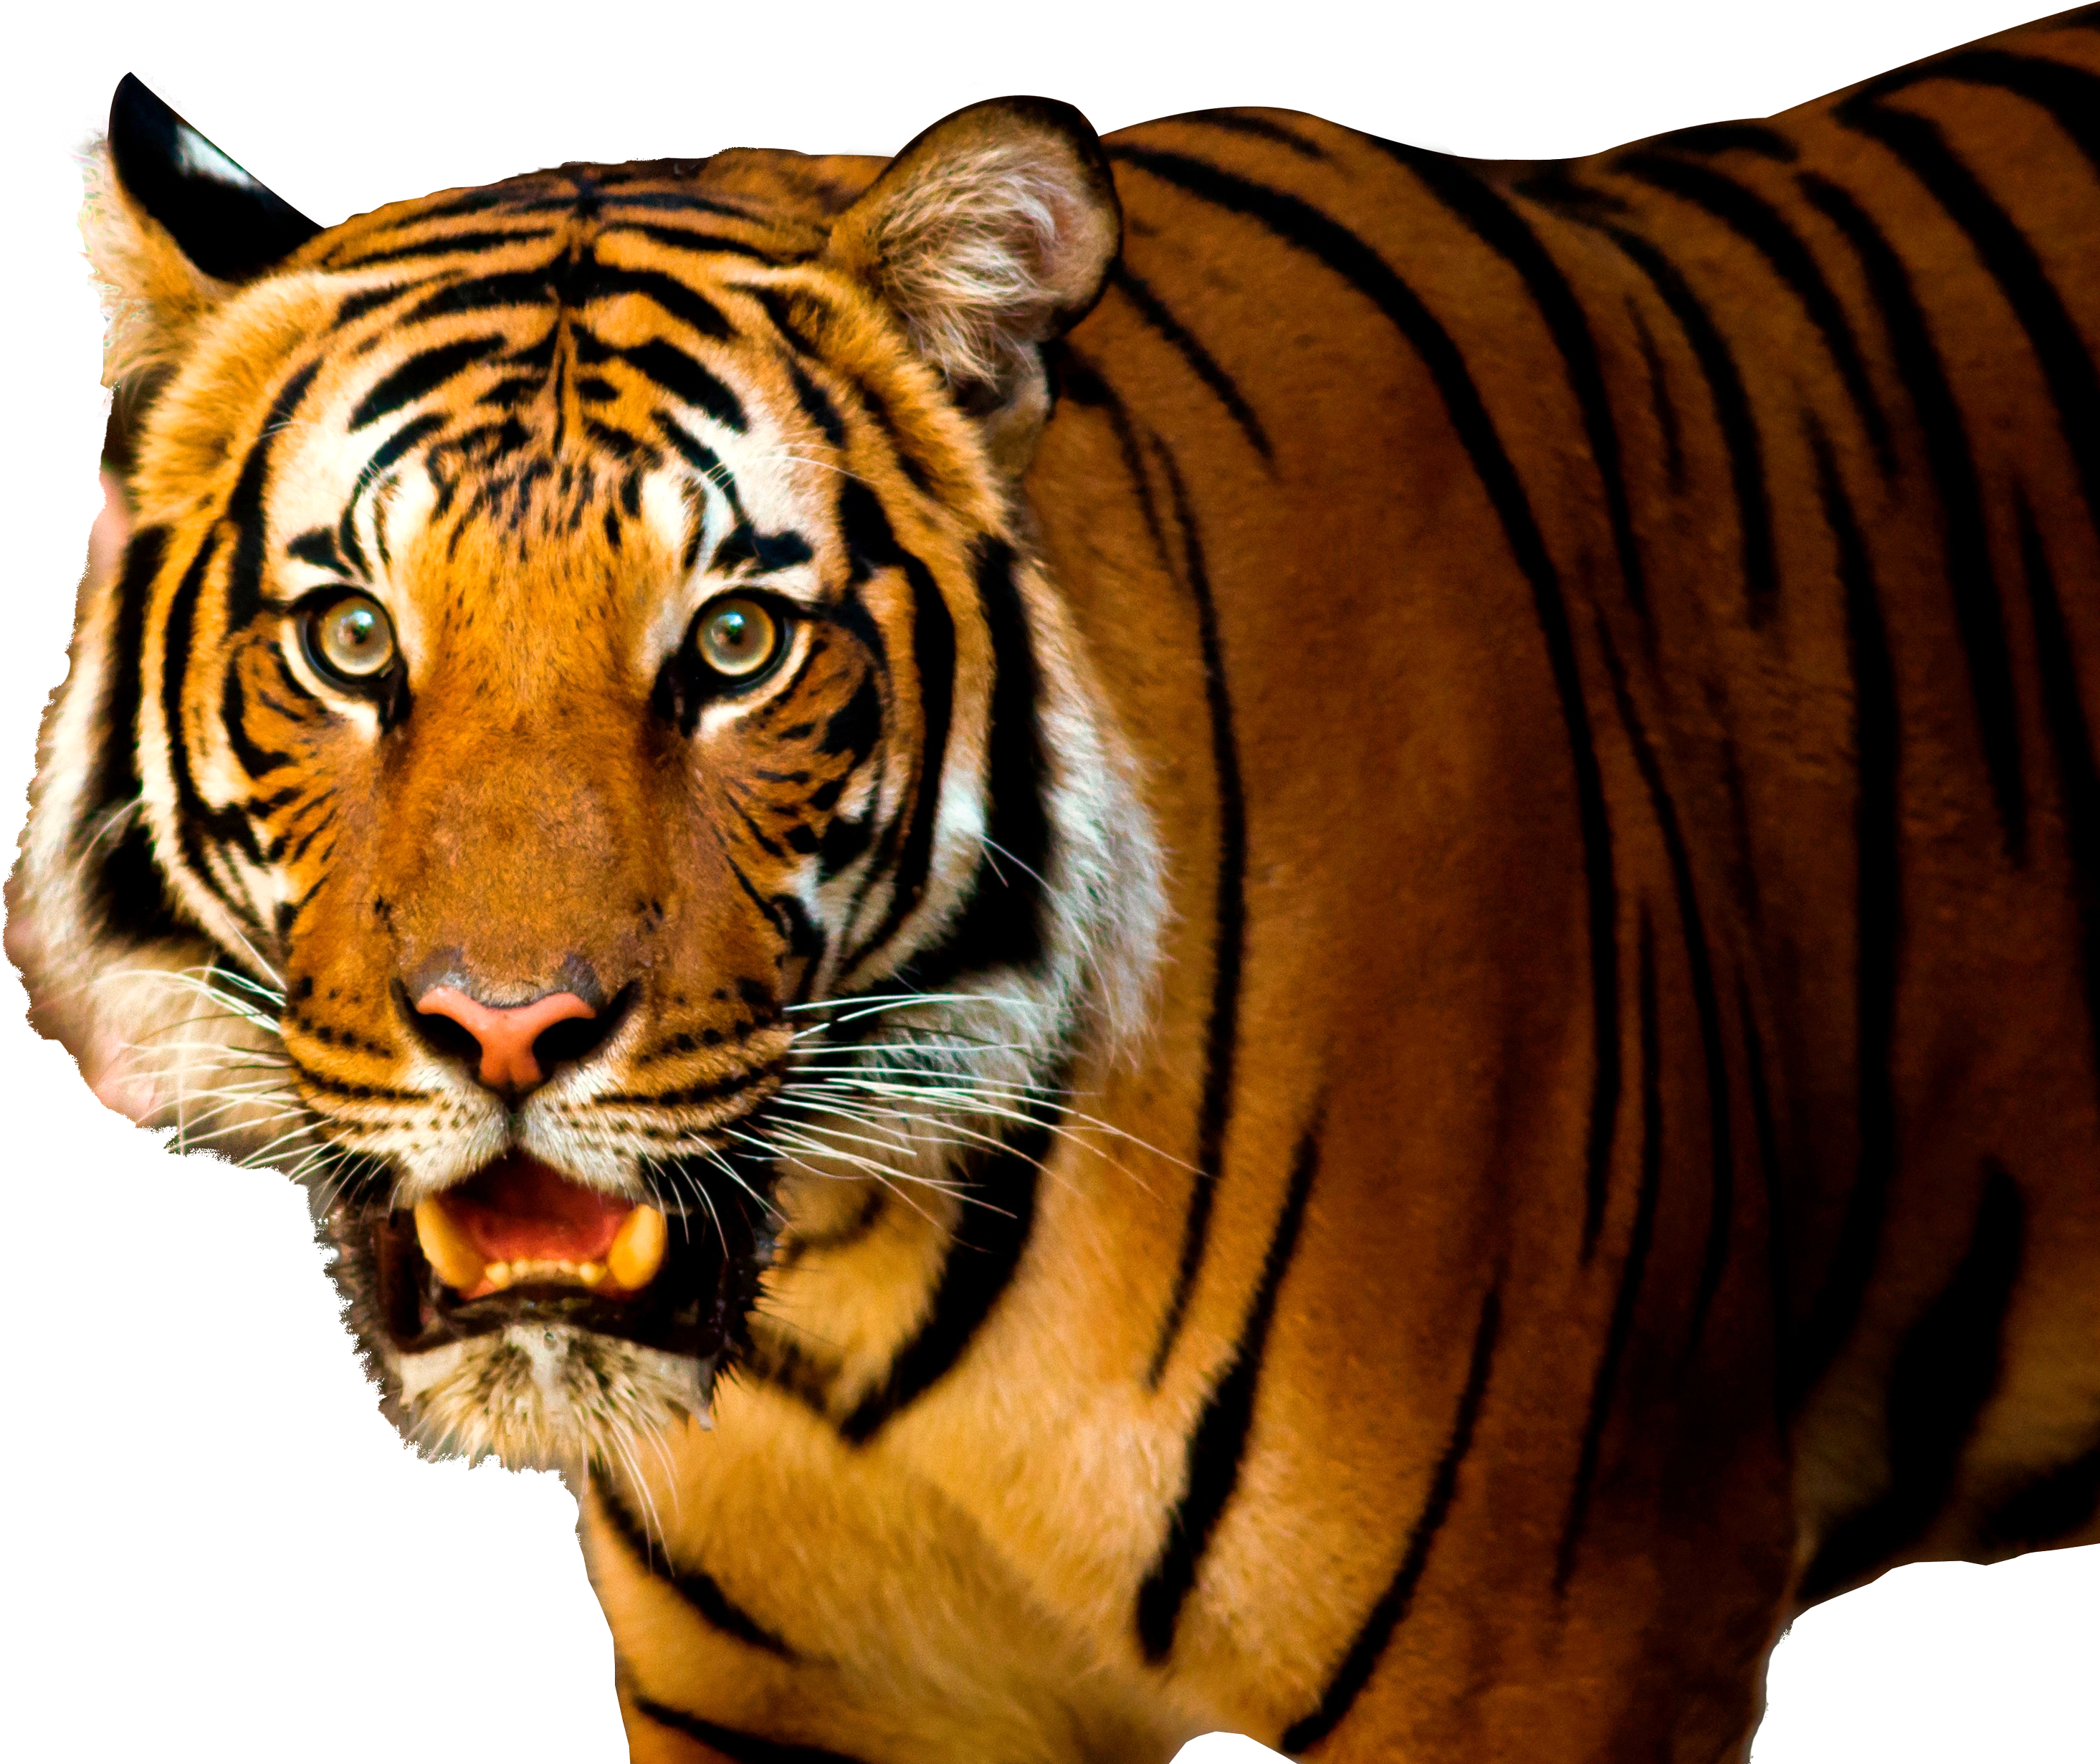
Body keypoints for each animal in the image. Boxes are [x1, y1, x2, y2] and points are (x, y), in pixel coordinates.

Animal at [10, 9, 2099, 1759]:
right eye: (354, 639)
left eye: (738, 641)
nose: (507, 1031)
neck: (857, 1310)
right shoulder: (773, 1705)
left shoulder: (1558, 1643)